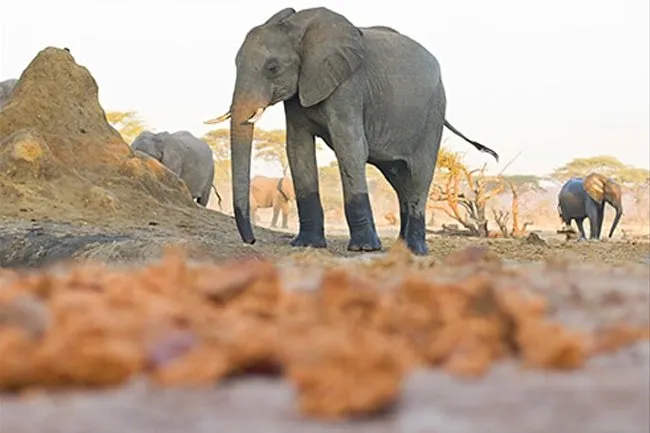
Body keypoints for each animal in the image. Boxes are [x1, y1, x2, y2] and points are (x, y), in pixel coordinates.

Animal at [202, 6, 496, 255]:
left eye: (273, 68)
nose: (251, 240)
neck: (299, 28)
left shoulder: (348, 87)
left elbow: (350, 148)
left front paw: (363, 249)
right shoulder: (300, 92)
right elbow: (297, 150)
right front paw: (306, 244)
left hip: (433, 113)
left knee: (418, 177)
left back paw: (415, 251)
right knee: (399, 178)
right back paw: (401, 249)